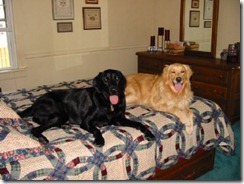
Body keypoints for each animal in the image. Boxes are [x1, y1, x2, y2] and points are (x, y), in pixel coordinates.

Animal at [18, 69, 154, 147]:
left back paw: (64, 125)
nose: (114, 90)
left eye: (117, 78)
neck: (108, 104)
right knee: (35, 128)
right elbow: (97, 130)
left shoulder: (119, 119)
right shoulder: (86, 122)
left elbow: (139, 124)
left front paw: (149, 133)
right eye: (105, 79)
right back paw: (43, 138)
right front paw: (99, 140)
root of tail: (34, 103)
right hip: (59, 113)